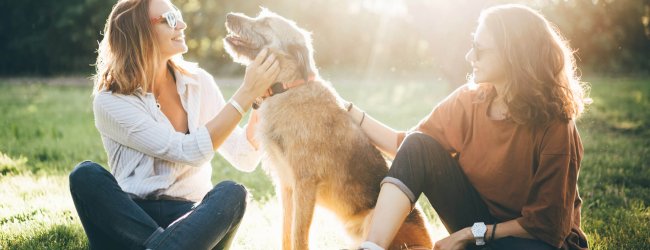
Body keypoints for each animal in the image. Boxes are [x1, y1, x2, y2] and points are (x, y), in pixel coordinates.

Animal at [223, 9, 430, 250]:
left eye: (265, 23)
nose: (229, 15)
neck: (287, 89)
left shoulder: (305, 183)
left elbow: (298, 235)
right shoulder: (286, 185)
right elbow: (286, 233)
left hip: (372, 218)